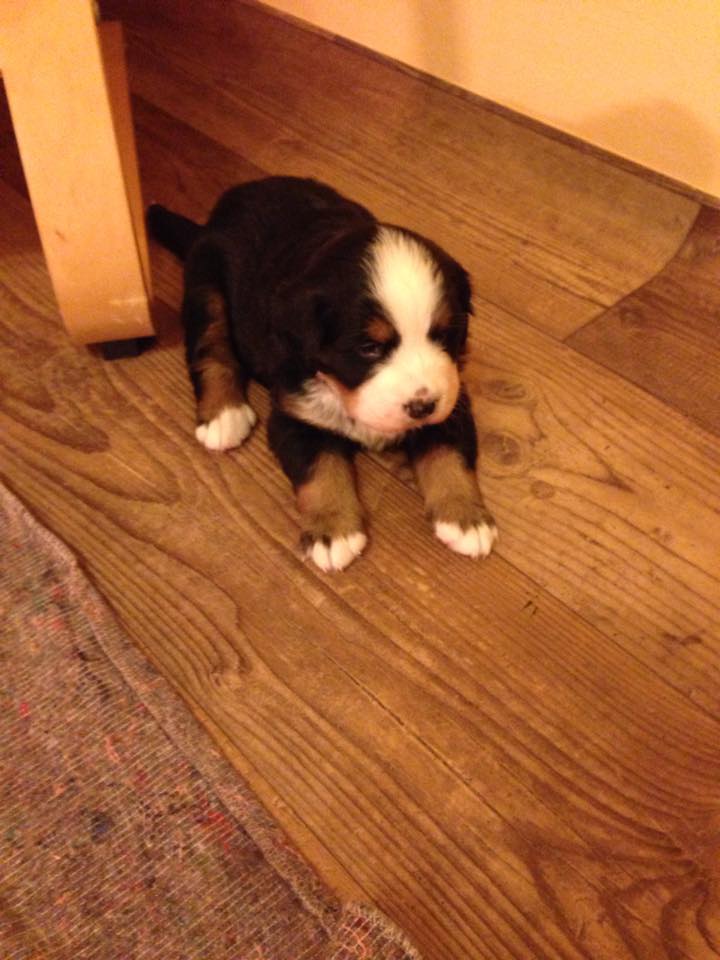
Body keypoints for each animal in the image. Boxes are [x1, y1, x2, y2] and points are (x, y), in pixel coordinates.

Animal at [147, 177, 497, 571]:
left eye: (443, 335)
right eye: (369, 348)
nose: (421, 407)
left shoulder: (453, 399)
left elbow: (449, 457)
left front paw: (465, 517)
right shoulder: (296, 415)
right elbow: (321, 471)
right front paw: (333, 532)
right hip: (206, 285)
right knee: (211, 349)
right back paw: (224, 415)